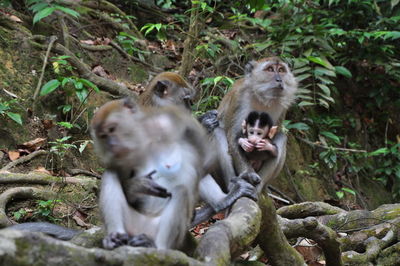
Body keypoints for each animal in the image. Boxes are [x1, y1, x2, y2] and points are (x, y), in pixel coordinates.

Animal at [90, 99, 212, 249]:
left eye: (112, 129)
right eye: (103, 136)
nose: (112, 145)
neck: (142, 139)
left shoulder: (170, 118)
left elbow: (206, 160)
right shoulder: (118, 159)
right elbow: (122, 179)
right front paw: (139, 186)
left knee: (181, 190)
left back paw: (155, 246)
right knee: (110, 174)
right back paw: (115, 236)